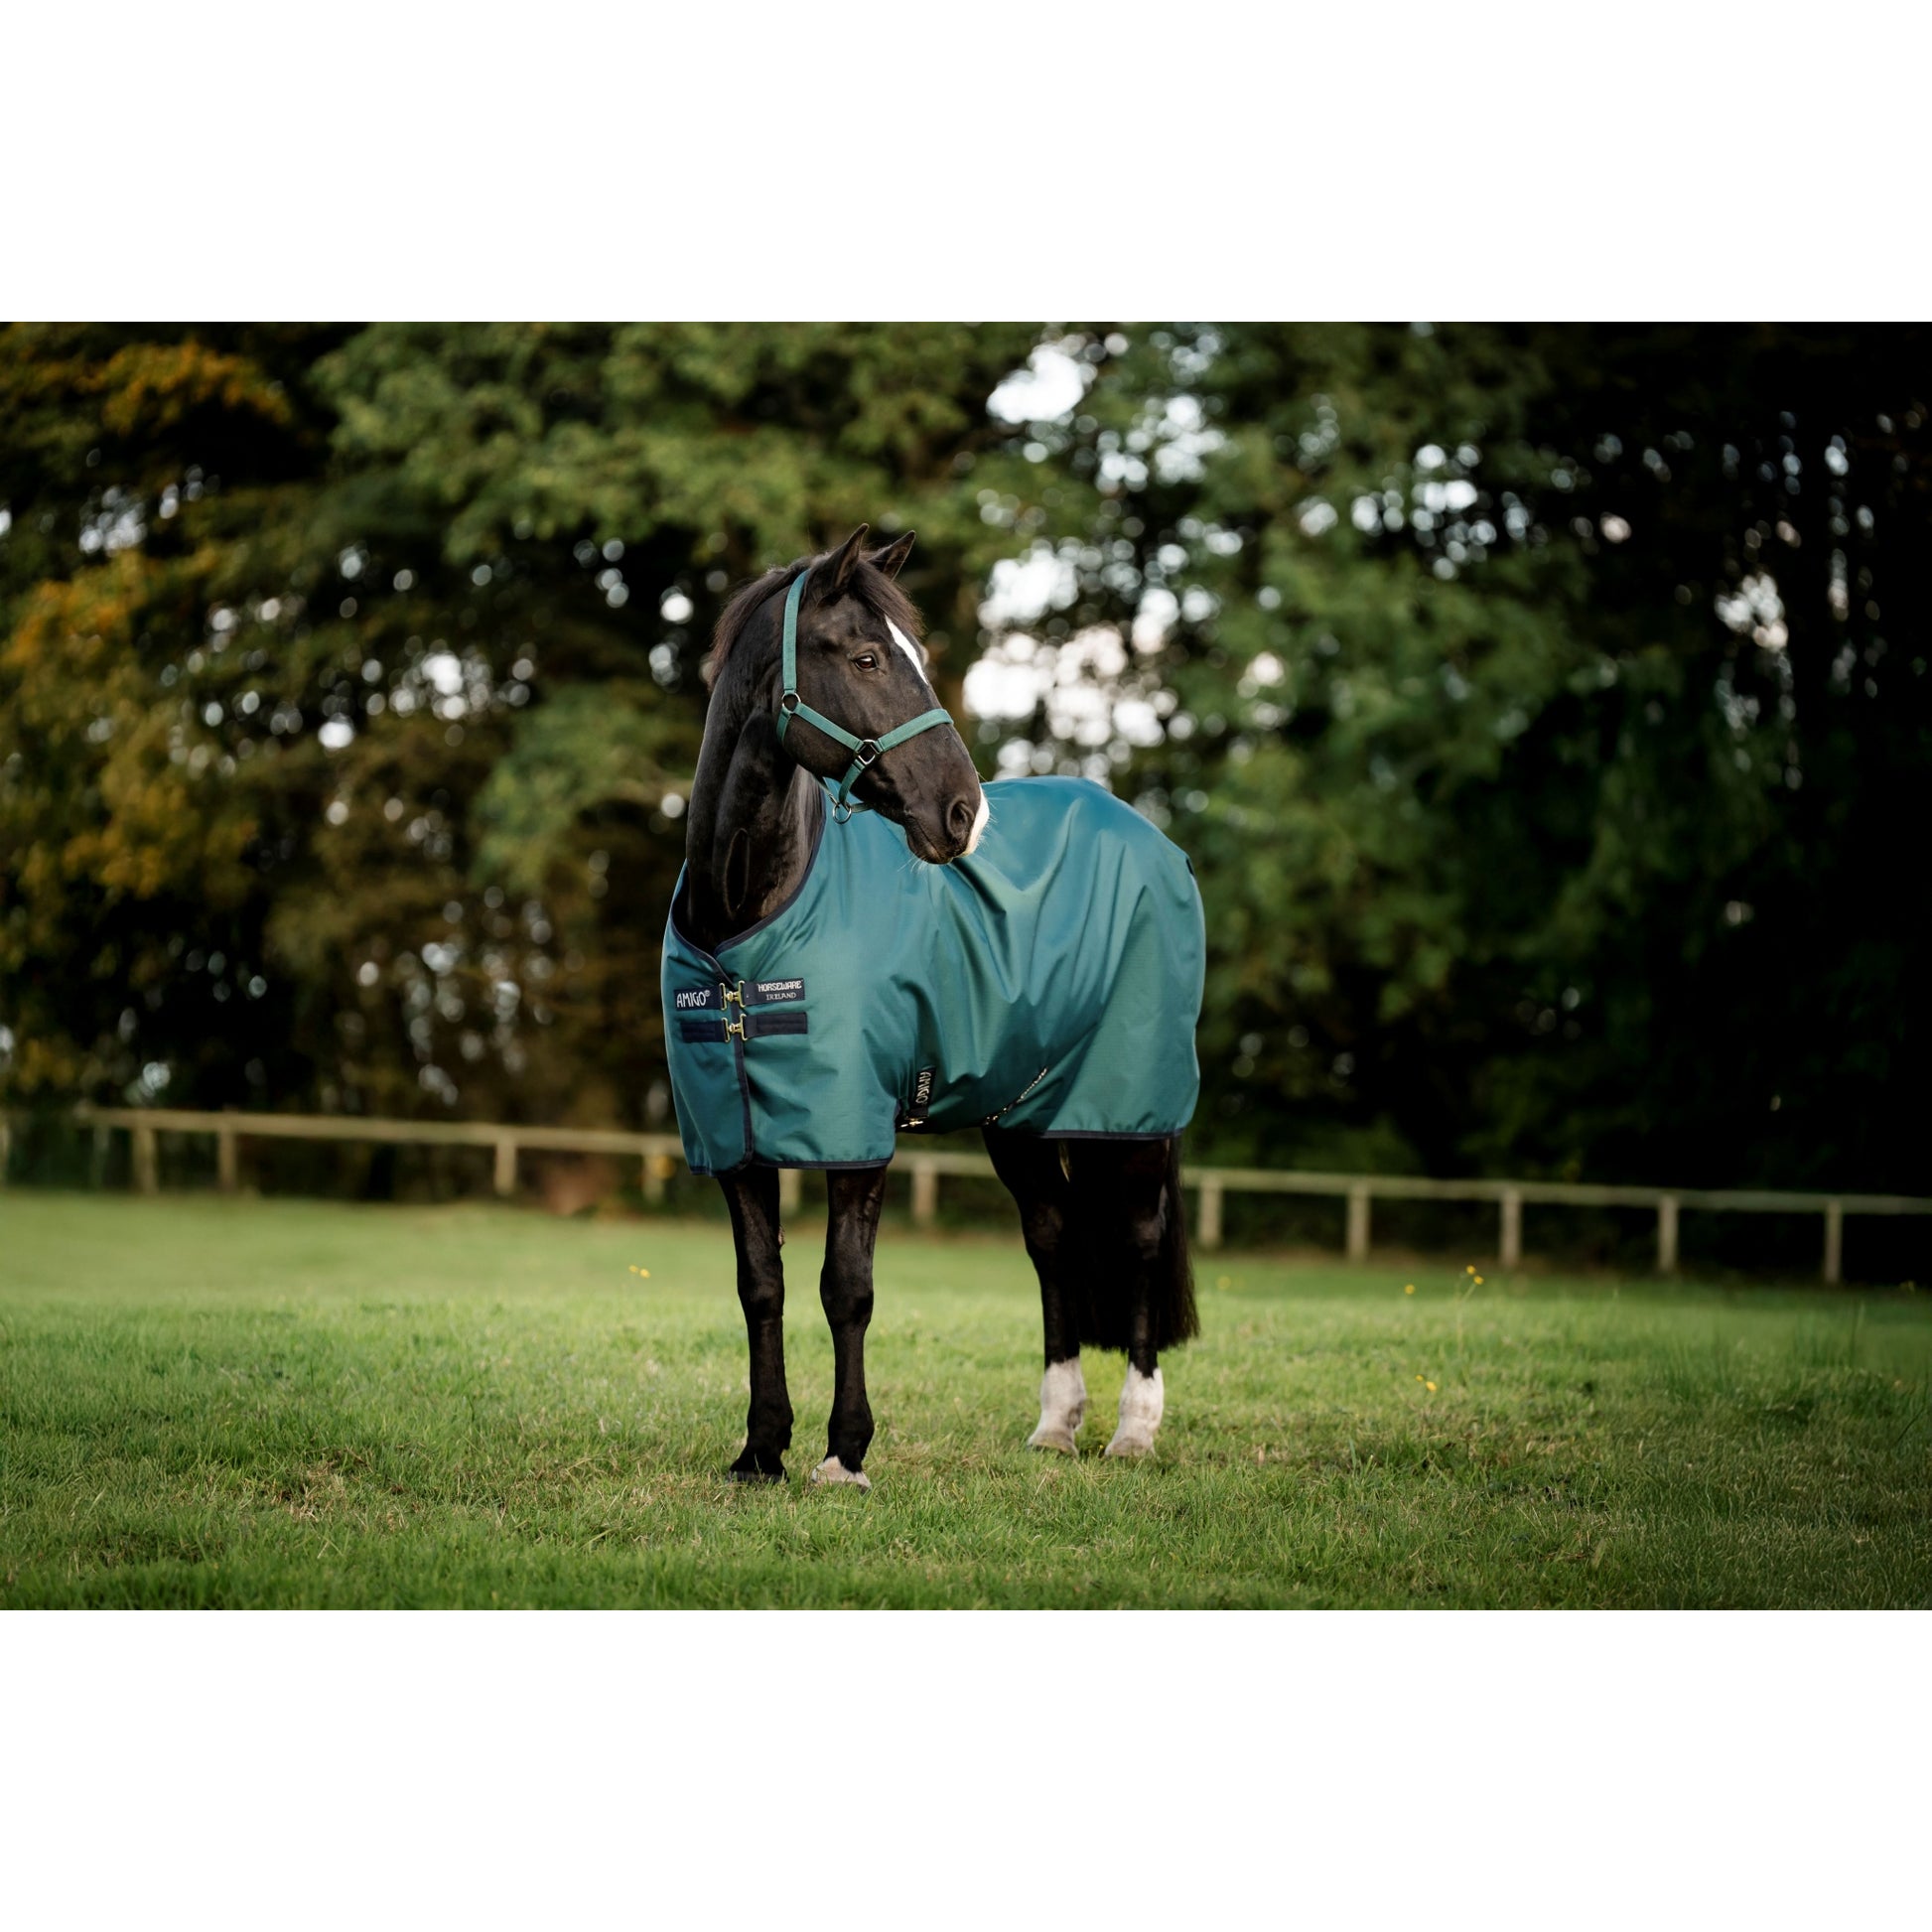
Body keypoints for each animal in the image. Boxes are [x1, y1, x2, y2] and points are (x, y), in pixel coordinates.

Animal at [662, 525, 1205, 1488]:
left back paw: (1134, 1428)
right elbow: (760, 1286)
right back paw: (1056, 1424)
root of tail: (1153, 839)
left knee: (1138, 1240)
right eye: (868, 657)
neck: (746, 925)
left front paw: (845, 1454)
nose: (963, 814)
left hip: (1134, 1110)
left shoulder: (857, 1133)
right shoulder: (733, 1138)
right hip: (1020, 1116)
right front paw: (761, 1449)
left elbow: (847, 1287)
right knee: (1053, 1237)